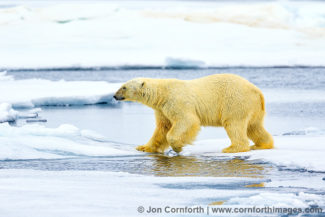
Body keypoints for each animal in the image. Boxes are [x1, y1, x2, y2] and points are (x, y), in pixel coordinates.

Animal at [112, 74, 272, 154]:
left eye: (123, 87)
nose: (114, 96)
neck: (162, 93)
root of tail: (258, 92)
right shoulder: (162, 109)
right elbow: (162, 128)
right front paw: (144, 147)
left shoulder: (176, 101)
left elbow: (186, 121)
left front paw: (178, 147)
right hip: (253, 107)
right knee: (254, 127)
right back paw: (262, 145)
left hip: (235, 101)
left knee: (234, 124)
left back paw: (232, 148)